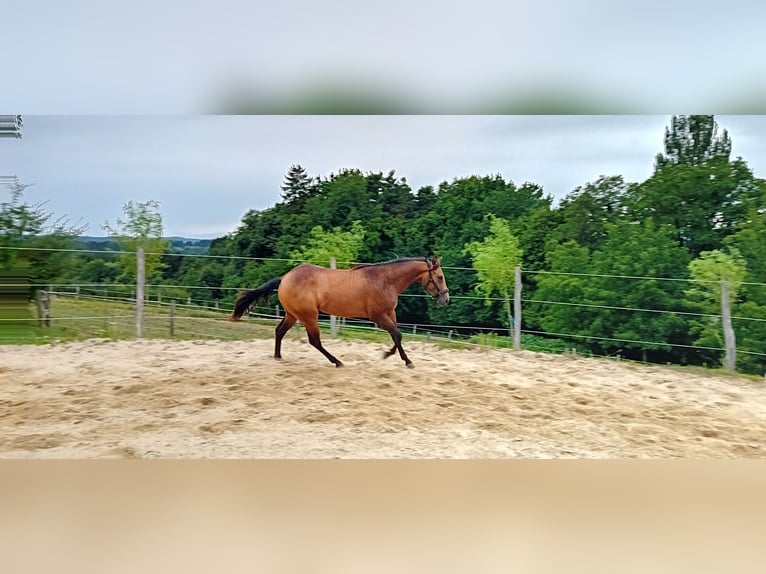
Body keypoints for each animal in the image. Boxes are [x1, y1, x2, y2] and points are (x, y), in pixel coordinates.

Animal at [230, 256, 450, 368]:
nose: (446, 299)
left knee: (279, 331)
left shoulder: (389, 314)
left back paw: (278, 357)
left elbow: (397, 336)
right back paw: (337, 362)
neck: (385, 280)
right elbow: (398, 334)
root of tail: (284, 278)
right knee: (314, 340)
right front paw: (405, 361)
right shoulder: (378, 316)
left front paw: (390, 355)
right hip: (309, 316)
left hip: (293, 314)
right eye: (439, 277)